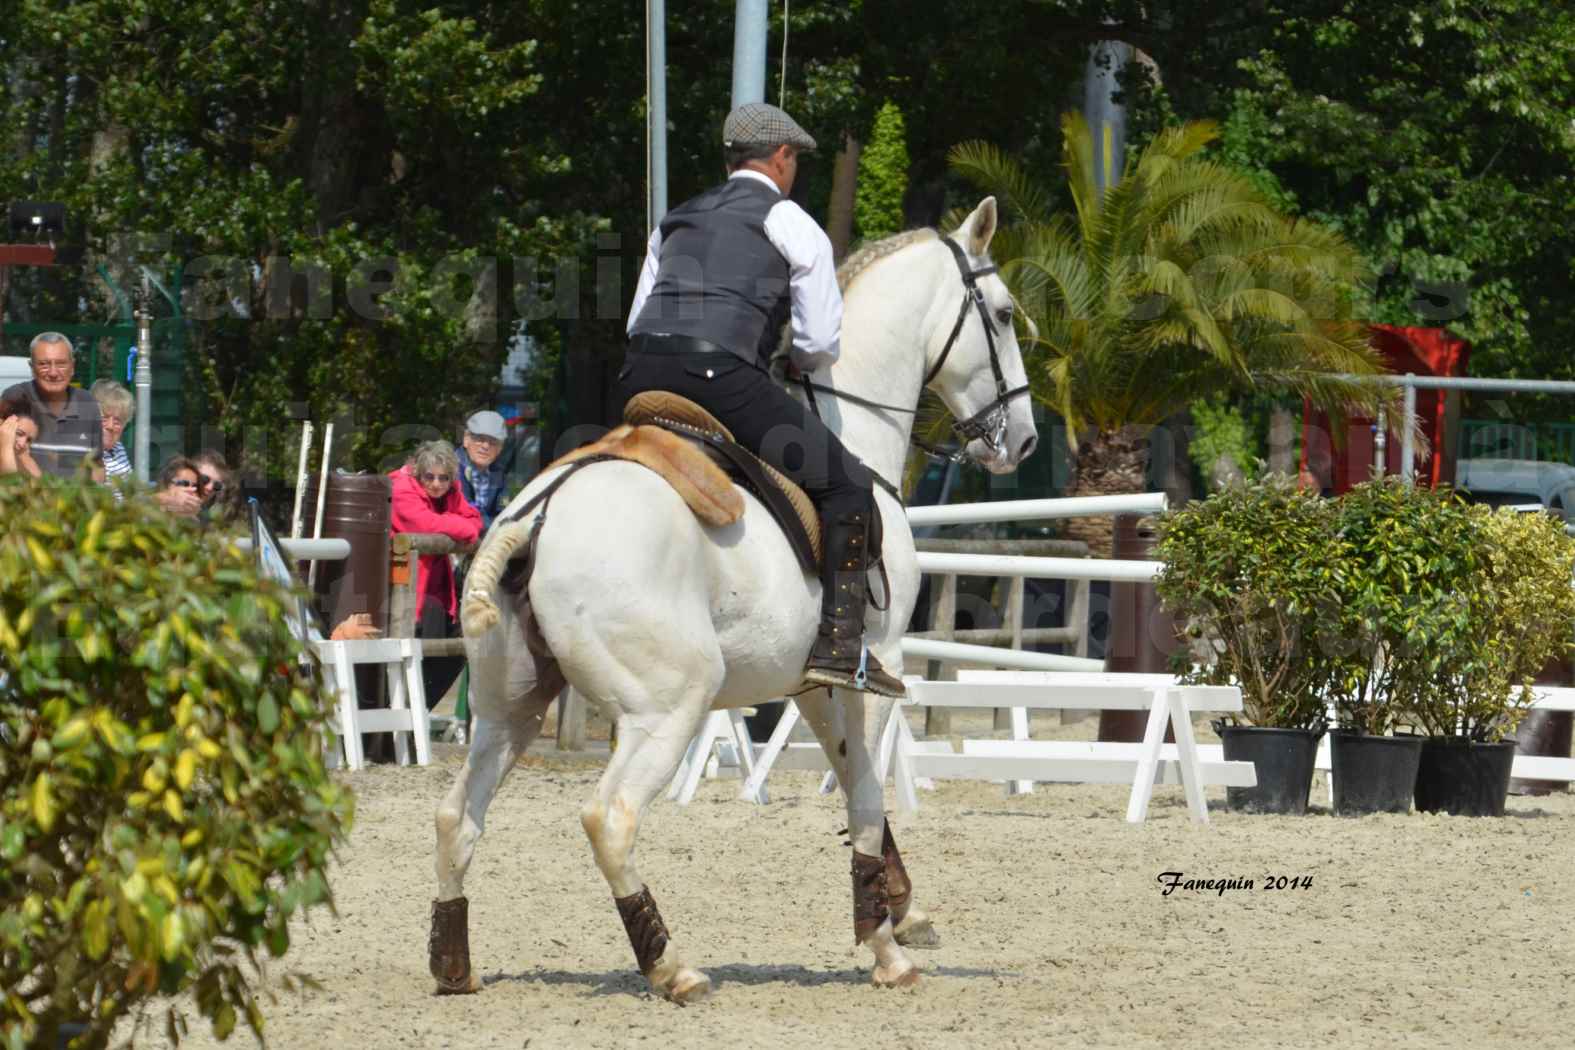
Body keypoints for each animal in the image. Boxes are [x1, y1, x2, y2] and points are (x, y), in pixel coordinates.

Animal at [434, 195, 1045, 1001]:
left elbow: (856, 789)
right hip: (668, 707)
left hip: (512, 709)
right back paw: (671, 967)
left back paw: (453, 964)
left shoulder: (816, 684)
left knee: (456, 817)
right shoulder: (871, 669)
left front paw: (900, 907)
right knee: (610, 817)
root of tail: (536, 513)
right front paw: (884, 946)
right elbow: (867, 797)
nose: (1024, 441)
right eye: (1002, 315)